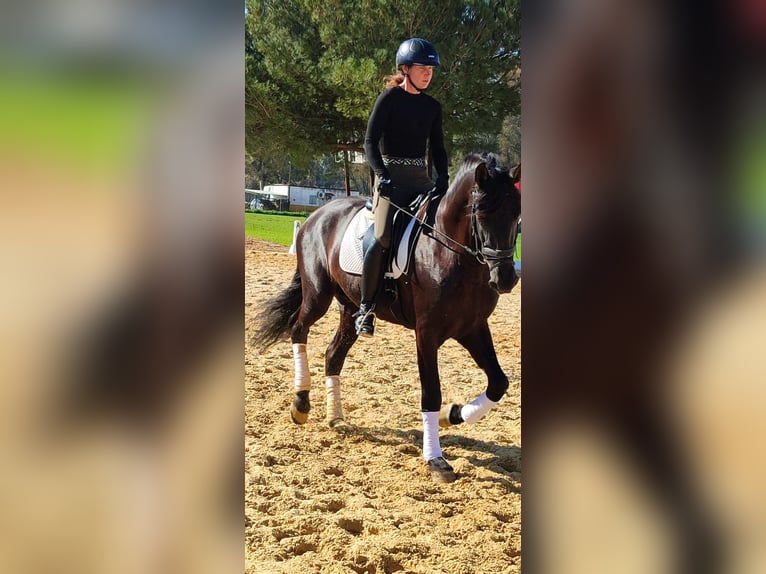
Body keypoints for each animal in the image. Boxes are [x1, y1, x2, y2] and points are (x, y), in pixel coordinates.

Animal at [251, 152, 521, 483]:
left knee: (333, 353)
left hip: (350, 307)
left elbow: (499, 383)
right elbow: (431, 392)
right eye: (481, 213)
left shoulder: (473, 328)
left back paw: (335, 417)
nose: (506, 278)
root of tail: (318, 215)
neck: (452, 254)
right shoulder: (426, 333)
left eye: (516, 214)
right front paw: (436, 459)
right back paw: (301, 403)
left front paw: (452, 415)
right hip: (317, 295)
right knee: (298, 329)